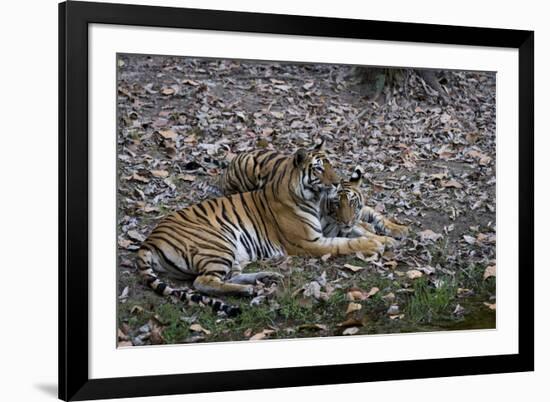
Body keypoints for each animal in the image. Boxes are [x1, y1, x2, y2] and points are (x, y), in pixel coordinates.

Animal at [140, 148, 386, 318]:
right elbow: (344, 243)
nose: (336, 183)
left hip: (233, 252)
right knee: (203, 282)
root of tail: (149, 241)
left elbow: (355, 231)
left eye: (331, 165)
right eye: (318, 168)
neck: (314, 199)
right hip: (217, 244)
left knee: (228, 276)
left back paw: (264, 279)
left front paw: (383, 237)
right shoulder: (311, 242)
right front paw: (376, 244)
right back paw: (249, 289)